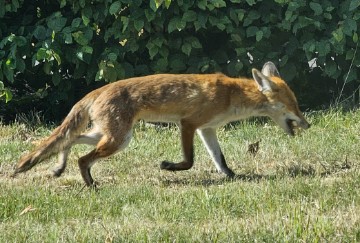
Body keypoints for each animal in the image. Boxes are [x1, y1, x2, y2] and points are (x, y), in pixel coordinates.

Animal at [12, 61, 308, 186]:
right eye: (294, 105)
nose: (307, 124)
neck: (231, 96)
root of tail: (97, 90)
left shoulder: (207, 128)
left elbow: (219, 158)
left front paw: (231, 176)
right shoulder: (189, 124)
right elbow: (189, 161)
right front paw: (169, 167)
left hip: (112, 136)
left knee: (70, 140)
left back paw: (59, 168)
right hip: (118, 139)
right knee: (82, 158)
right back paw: (90, 184)